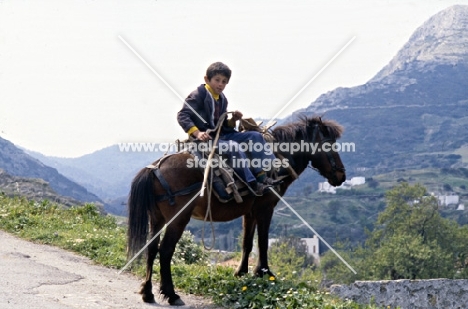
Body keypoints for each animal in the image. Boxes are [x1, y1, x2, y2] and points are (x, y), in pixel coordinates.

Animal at [126, 115, 346, 304]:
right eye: (328, 144)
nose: (341, 176)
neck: (278, 159)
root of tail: (154, 168)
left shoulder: (250, 212)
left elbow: (247, 243)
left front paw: (242, 273)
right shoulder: (265, 208)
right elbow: (263, 243)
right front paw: (265, 273)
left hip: (157, 218)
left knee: (151, 248)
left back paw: (147, 292)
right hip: (178, 220)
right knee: (165, 251)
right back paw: (171, 294)